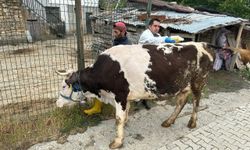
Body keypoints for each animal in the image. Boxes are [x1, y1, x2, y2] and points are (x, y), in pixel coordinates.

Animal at [57, 42, 215, 149]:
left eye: (64, 86)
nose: (57, 104)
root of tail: (202, 44)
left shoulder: (120, 95)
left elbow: (118, 118)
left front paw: (117, 141)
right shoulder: (125, 97)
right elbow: (125, 113)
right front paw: (125, 125)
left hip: (198, 82)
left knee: (196, 101)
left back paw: (192, 123)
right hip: (183, 86)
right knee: (181, 103)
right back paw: (169, 121)